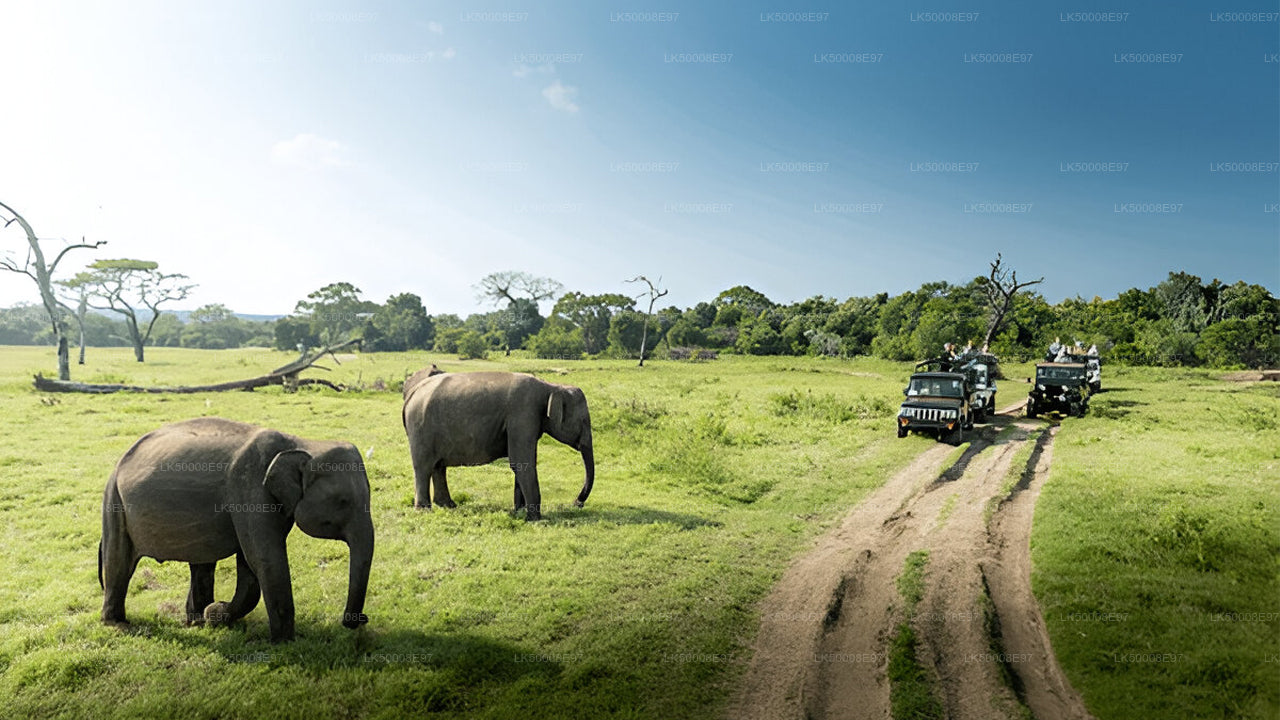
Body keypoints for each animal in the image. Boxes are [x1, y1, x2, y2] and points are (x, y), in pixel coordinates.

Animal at [99, 417, 374, 643]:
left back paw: (196, 620)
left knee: (202, 563)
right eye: (343, 502)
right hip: (114, 502)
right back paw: (118, 624)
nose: (359, 621)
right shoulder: (249, 489)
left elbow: (250, 564)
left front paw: (215, 615)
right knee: (119, 562)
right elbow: (264, 558)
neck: (301, 443)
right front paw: (284, 643)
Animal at [402, 370, 594, 521]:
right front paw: (535, 519)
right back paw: (424, 511)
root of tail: (412, 393)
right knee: (424, 467)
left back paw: (448, 505)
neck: (551, 387)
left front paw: (519, 512)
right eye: (584, 421)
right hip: (421, 428)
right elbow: (522, 463)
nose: (577, 503)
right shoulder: (523, 414)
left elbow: (521, 465)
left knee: (438, 466)